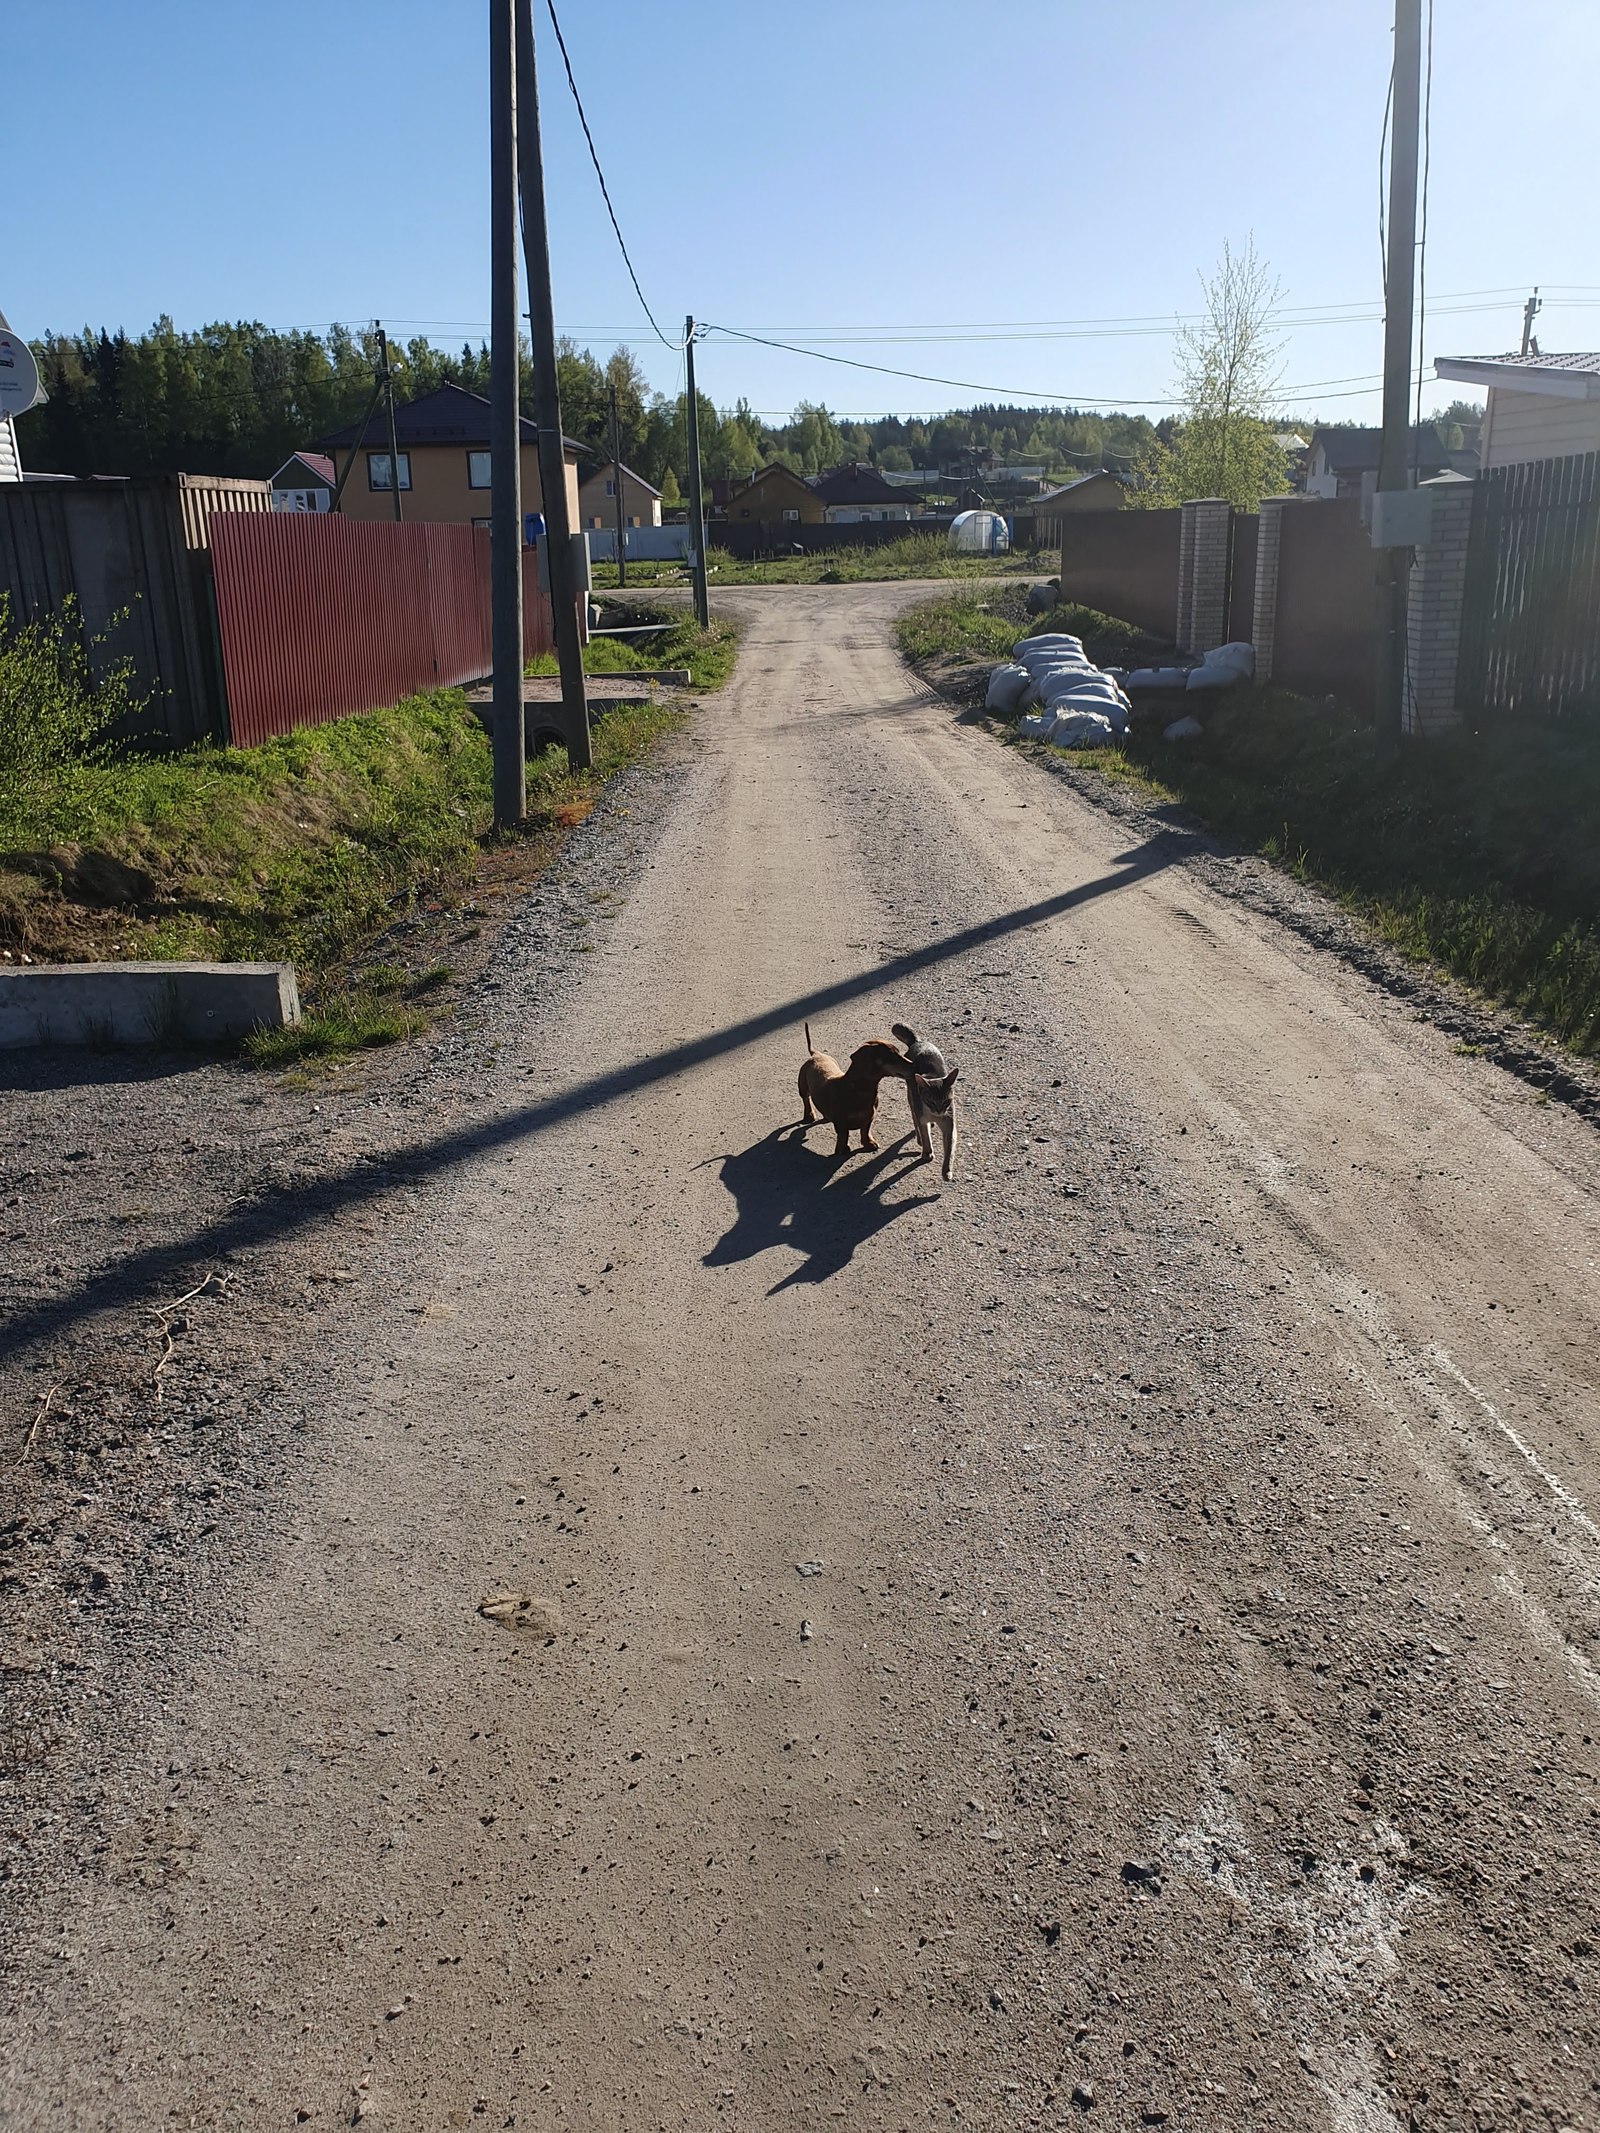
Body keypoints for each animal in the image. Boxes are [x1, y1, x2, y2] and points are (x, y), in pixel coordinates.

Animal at [797, 1023, 913, 1160]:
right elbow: (843, 1135)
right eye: (890, 1056)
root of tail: (816, 1054)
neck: (858, 1089)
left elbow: (865, 1130)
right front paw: (842, 1149)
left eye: (899, 1052)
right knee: (806, 1099)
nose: (914, 1065)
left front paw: (869, 1143)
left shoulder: (869, 1116)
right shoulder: (841, 1122)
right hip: (803, 1086)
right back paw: (809, 1115)